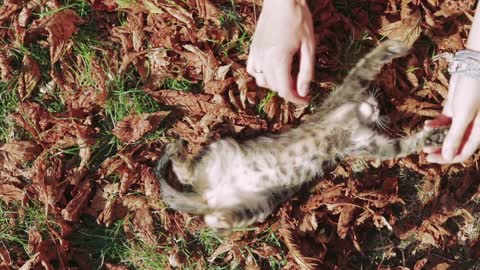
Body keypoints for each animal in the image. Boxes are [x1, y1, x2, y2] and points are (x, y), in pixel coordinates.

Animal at [156, 40, 448, 230]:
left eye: (381, 106)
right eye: (375, 101)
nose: (376, 108)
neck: (355, 114)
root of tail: (207, 195)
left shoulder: (369, 145)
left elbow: (400, 146)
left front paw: (434, 137)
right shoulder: (345, 94)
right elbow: (365, 65)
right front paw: (393, 47)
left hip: (258, 205)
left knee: (212, 215)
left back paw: (218, 217)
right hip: (223, 149)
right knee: (187, 176)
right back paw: (176, 149)